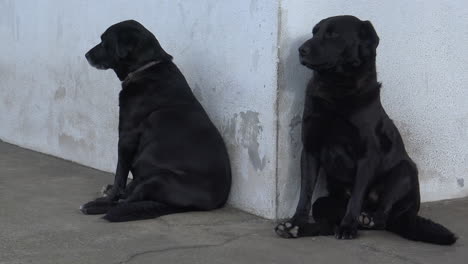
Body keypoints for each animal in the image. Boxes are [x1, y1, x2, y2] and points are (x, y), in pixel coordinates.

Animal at [83, 20, 233, 222]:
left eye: (104, 40)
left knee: (125, 202)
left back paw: (97, 205)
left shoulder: (126, 137)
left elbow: (119, 175)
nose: (86, 55)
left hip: (160, 178)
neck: (146, 67)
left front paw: (110, 195)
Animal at [276, 15, 456, 244]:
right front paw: (296, 222)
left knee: (381, 219)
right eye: (314, 32)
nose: (301, 50)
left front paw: (348, 227)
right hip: (326, 202)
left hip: (404, 172)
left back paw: (367, 219)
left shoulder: (367, 155)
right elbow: (305, 194)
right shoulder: (310, 150)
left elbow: (356, 196)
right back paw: (298, 229)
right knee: (326, 220)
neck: (337, 91)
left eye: (333, 34)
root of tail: (404, 216)